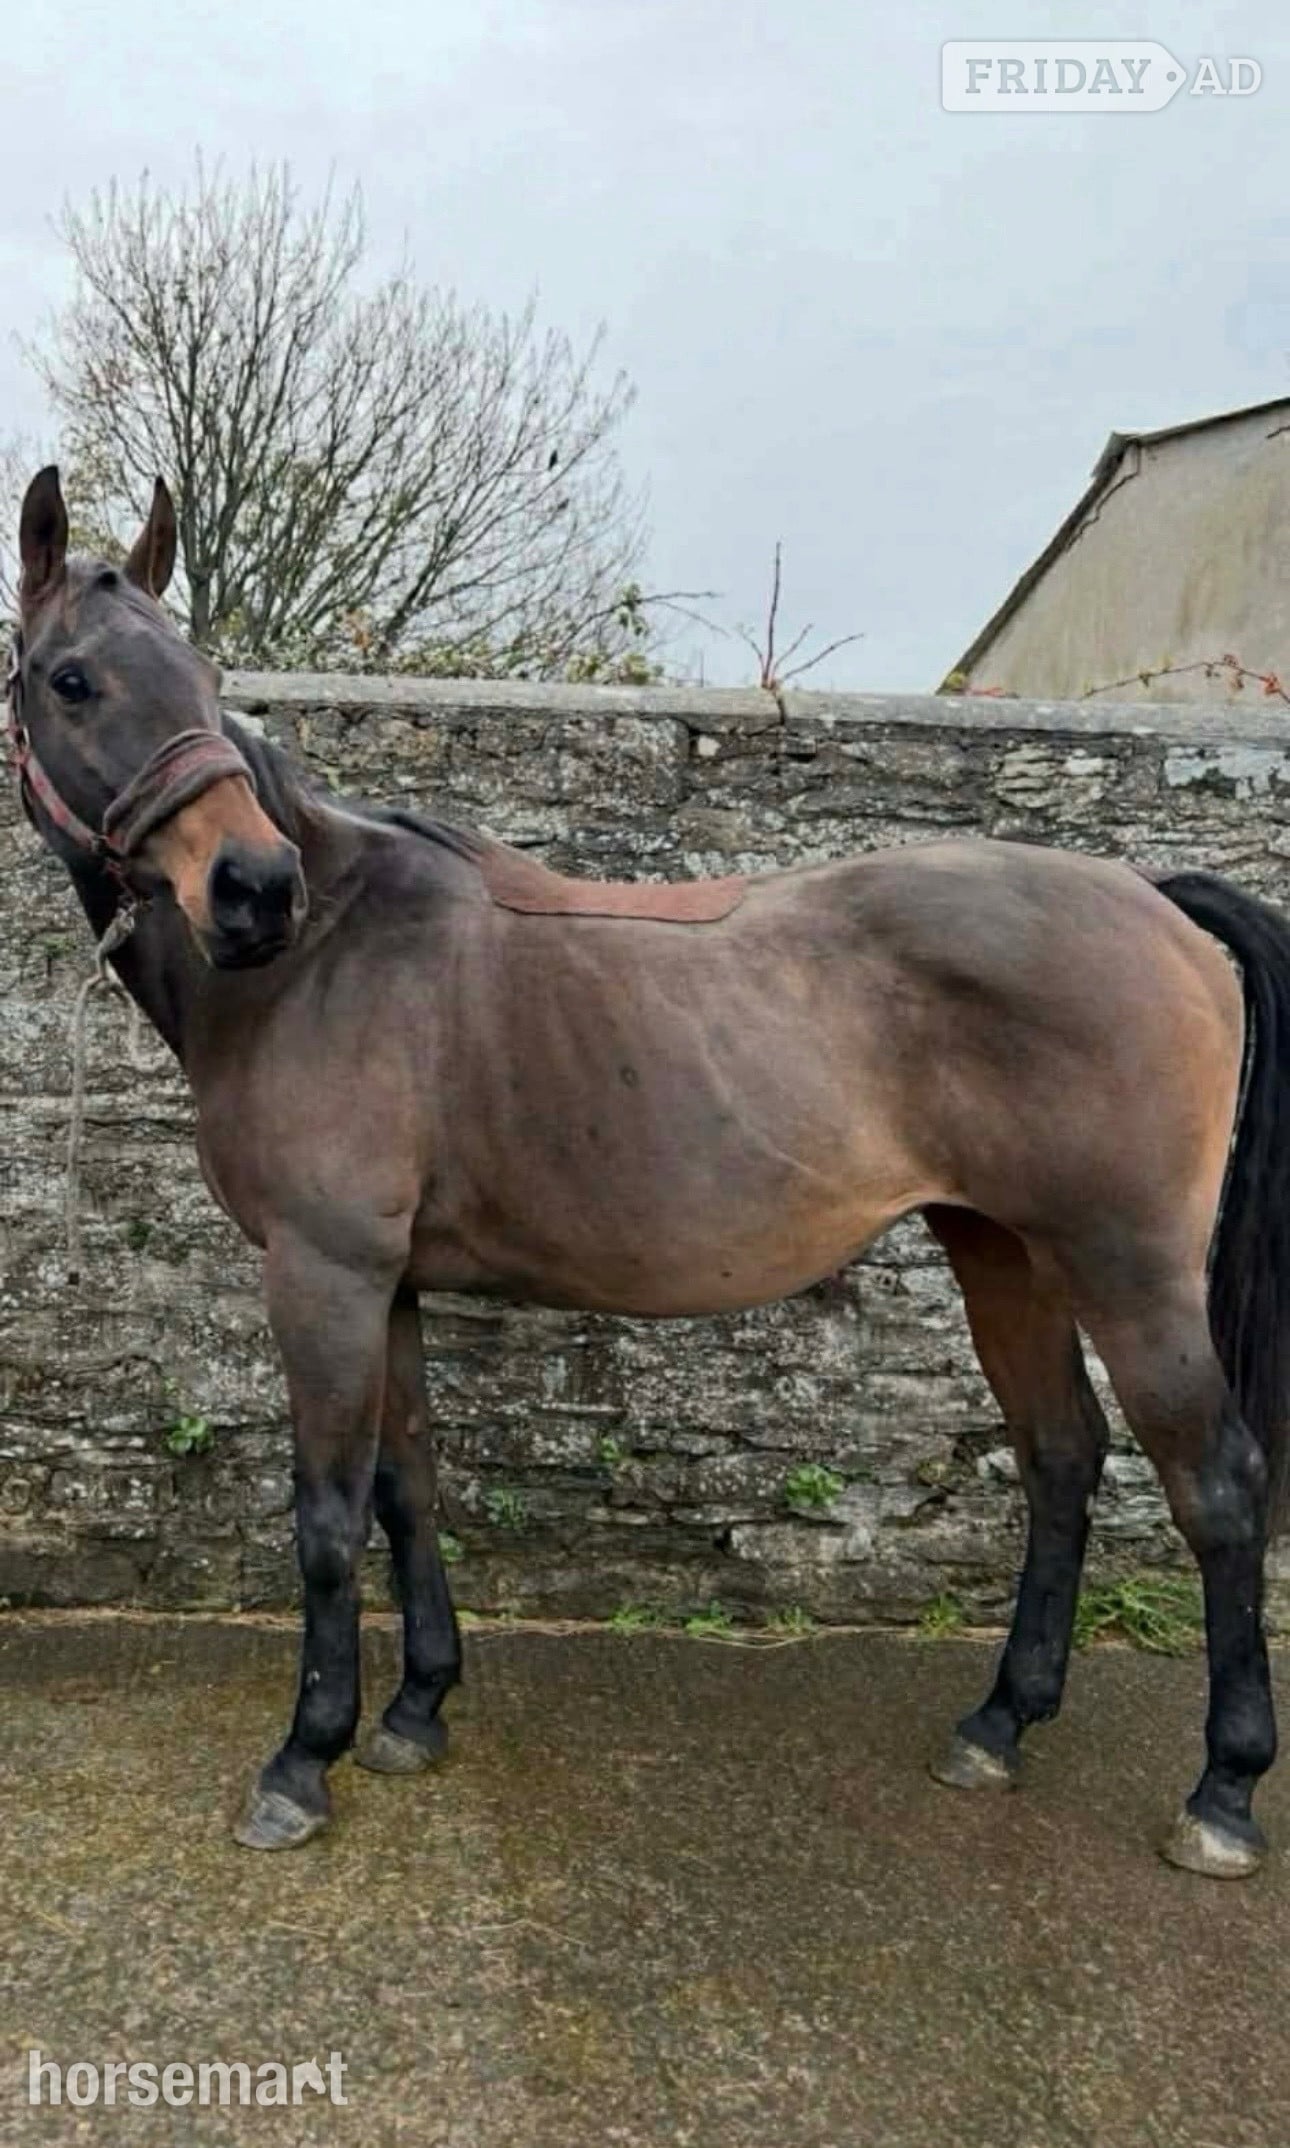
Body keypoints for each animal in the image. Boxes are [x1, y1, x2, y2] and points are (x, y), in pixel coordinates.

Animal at [9, 463, 1290, 1881]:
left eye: (203, 668)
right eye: (74, 679)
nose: (252, 889)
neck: (326, 954)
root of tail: (1159, 905)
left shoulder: (324, 1276)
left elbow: (330, 1518)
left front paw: (305, 1759)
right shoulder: (383, 1283)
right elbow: (408, 1489)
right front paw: (416, 1709)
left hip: (1130, 1270)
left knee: (1219, 1488)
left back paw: (1223, 1792)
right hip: (1001, 1249)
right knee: (1060, 1454)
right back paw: (1000, 1723)